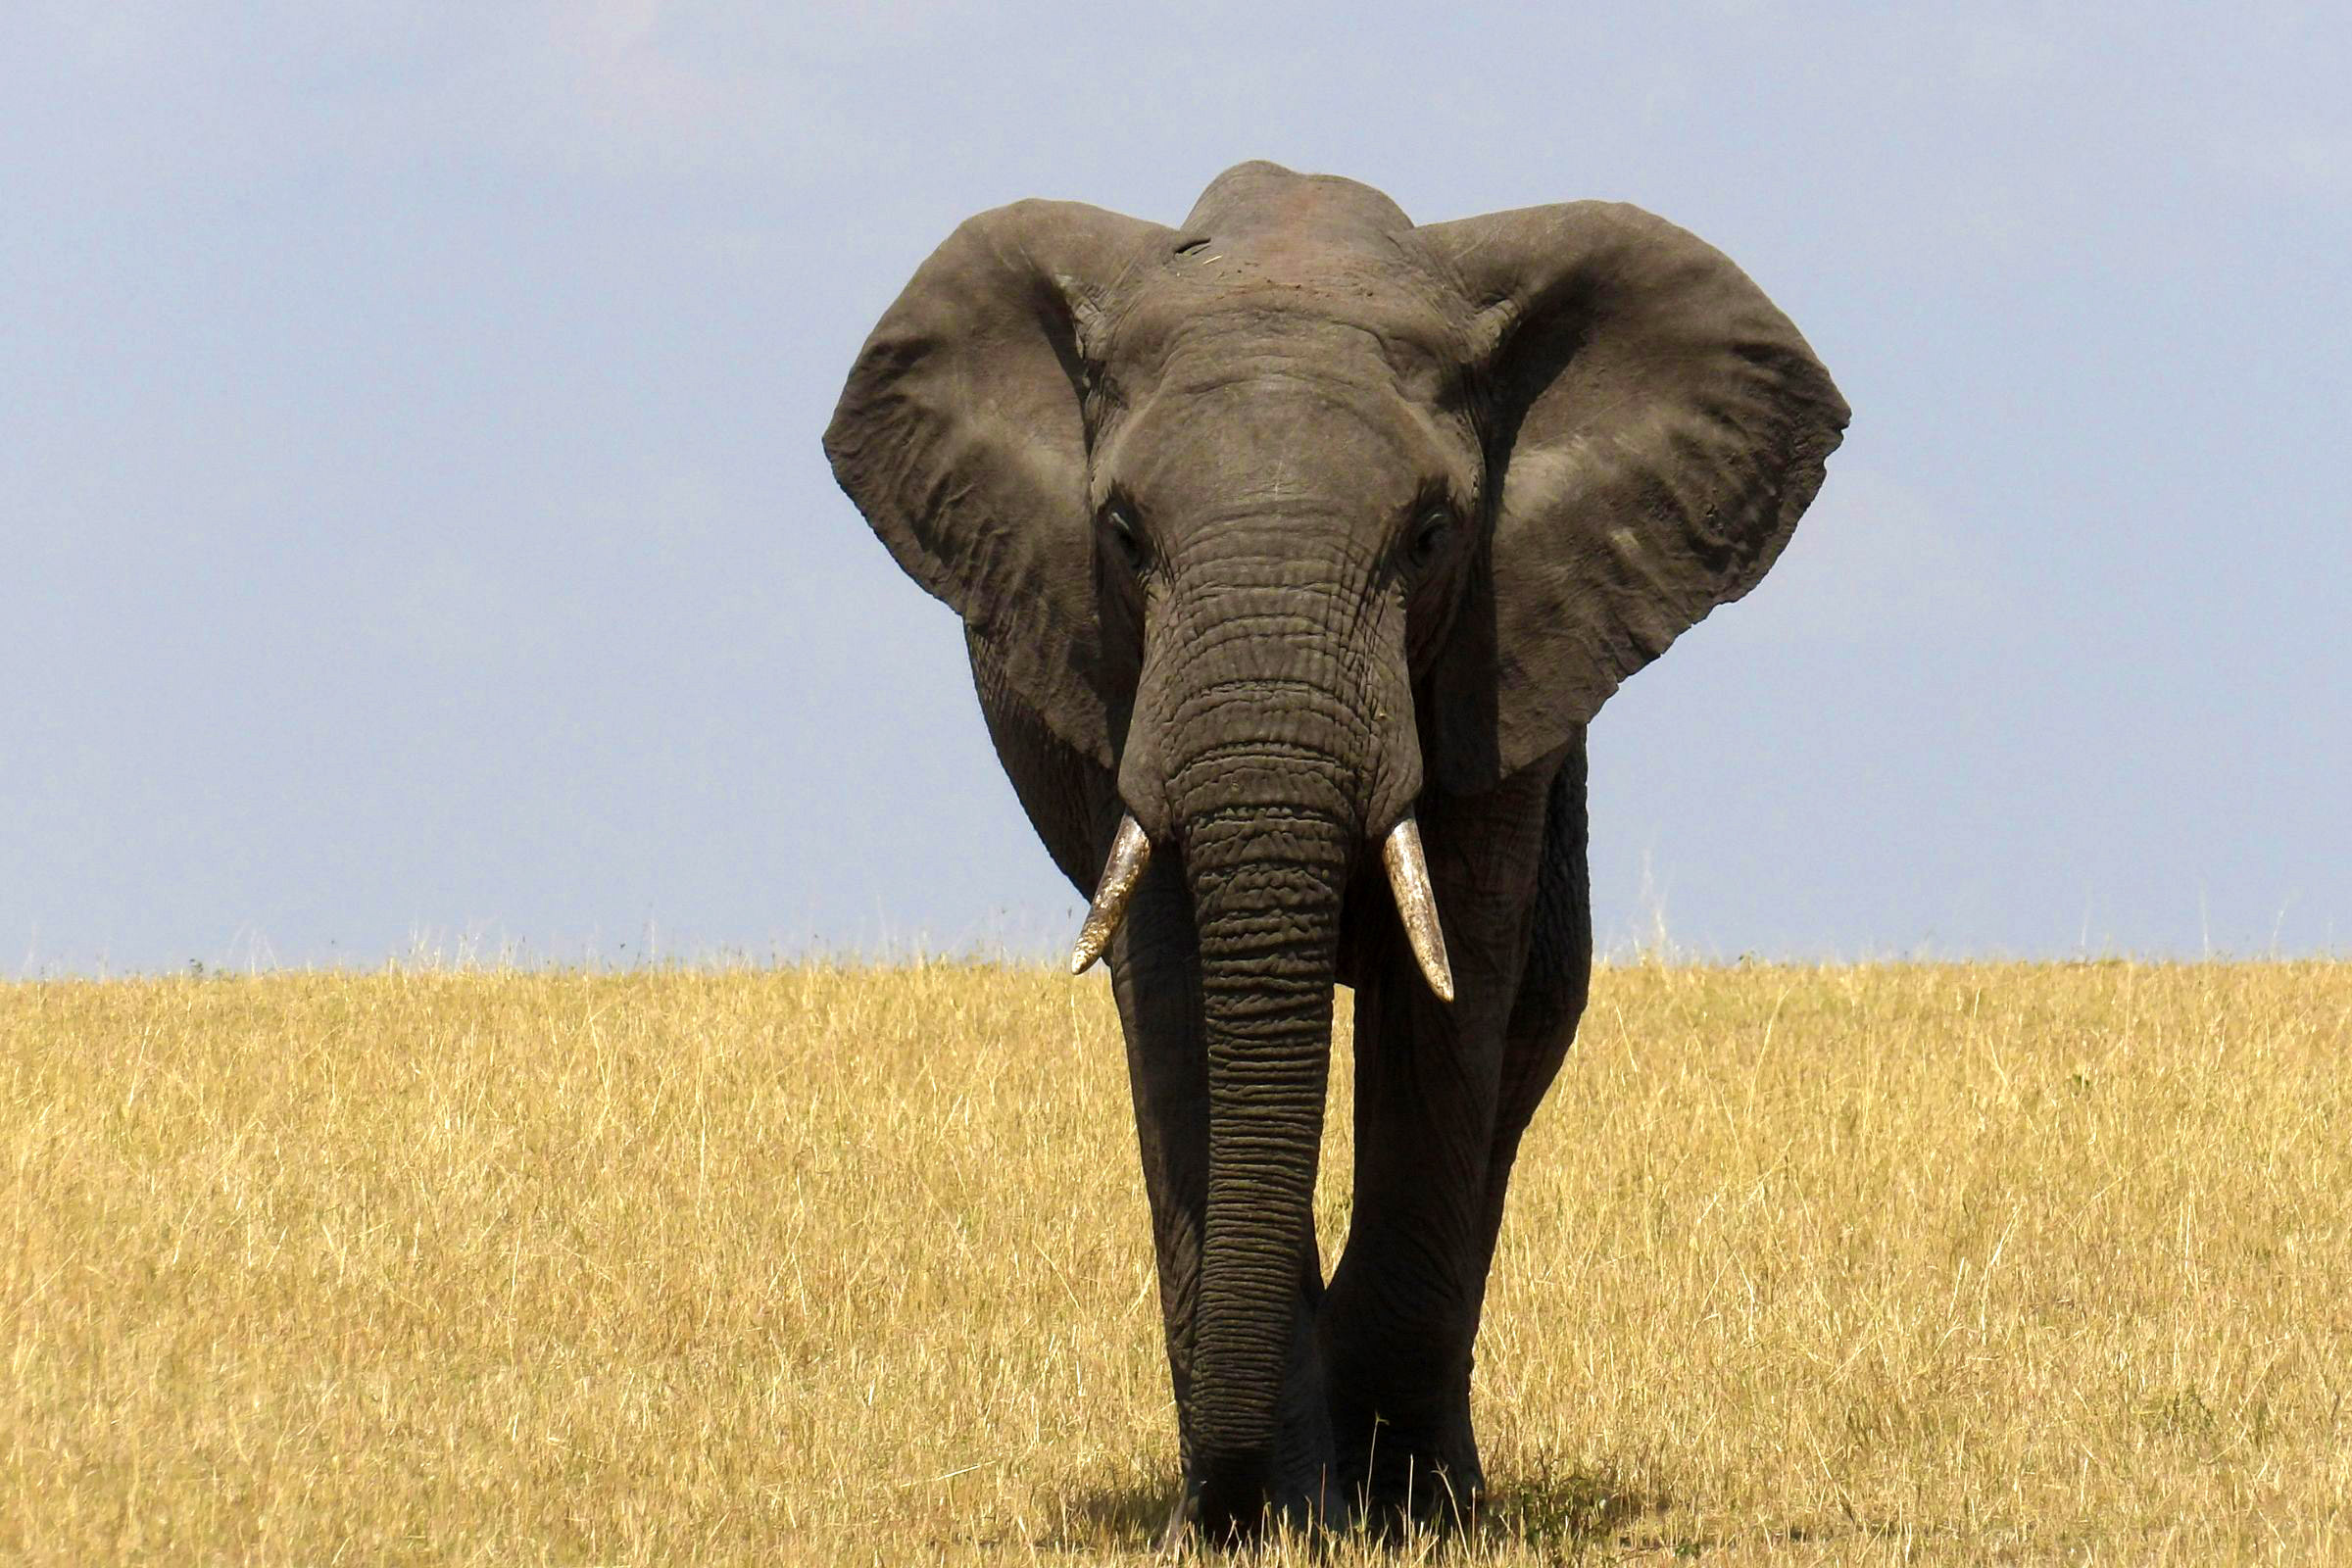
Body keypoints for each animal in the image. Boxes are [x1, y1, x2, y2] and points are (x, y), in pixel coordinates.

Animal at [825, 162, 1845, 1540]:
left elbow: (1449, 996)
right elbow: (1178, 996)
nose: (1210, 1508)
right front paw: (1275, 1519)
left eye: (1429, 536)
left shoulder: (1496, 660)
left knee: (1531, 1026)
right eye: (1123, 535)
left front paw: (1410, 1515)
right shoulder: (1120, 690)